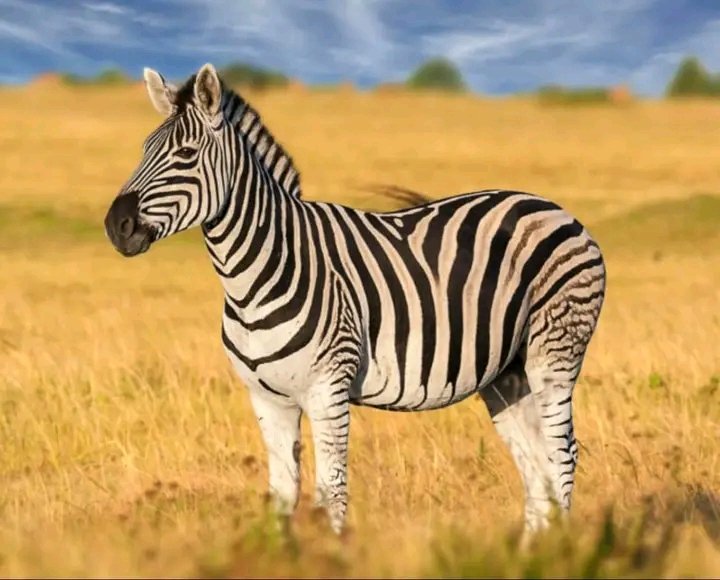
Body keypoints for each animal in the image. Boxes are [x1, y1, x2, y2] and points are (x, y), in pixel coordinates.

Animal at [104, 64, 606, 538]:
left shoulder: (329, 389)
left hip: (554, 352)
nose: (116, 226)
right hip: (506, 373)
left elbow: (332, 494)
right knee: (536, 465)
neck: (255, 276)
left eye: (185, 155)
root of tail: (551, 206)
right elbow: (283, 495)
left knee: (561, 456)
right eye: (144, 149)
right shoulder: (267, 398)